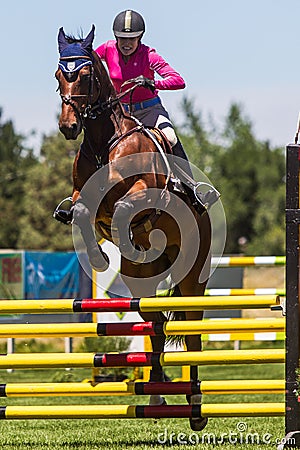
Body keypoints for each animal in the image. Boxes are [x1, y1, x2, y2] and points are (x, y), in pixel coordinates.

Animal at [55, 25, 212, 432]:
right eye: (59, 73)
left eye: (85, 74)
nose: (68, 127)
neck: (103, 141)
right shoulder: (80, 196)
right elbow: (81, 210)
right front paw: (97, 253)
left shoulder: (144, 192)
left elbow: (126, 206)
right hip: (142, 282)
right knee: (155, 326)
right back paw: (156, 396)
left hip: (193, 279)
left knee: (192, 336)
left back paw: (195, 408)